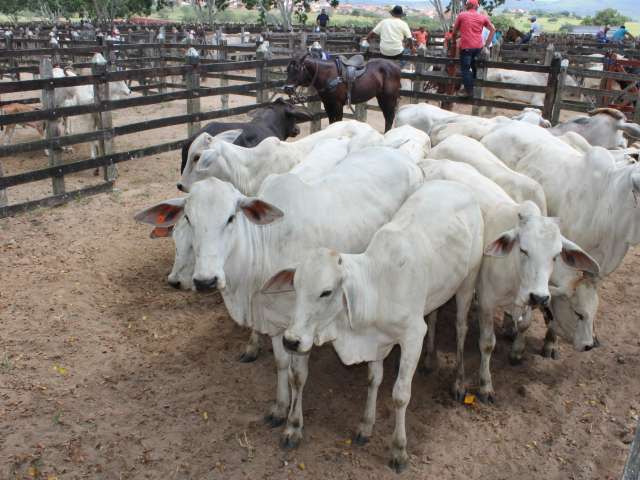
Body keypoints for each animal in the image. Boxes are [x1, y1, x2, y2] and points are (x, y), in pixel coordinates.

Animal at [135, 149, 424, 436]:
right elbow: (281, 365)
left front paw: (294, 425)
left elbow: (298, 376)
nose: (206, 280)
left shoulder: (302, 328)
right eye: (188, 218)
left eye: (231, 218)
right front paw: (279, 408)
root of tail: (403, 158)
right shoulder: (275, 322)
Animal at [262, 181, 482, 472]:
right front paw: (366, 426)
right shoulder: (377, 342)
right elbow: (373, 379)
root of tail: (459, 185)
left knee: (461, 327)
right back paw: (430, 360)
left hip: (468, 281)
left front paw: (399, 450)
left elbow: (400, 395)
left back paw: (458, 381)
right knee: (434, 314)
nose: (290, 340)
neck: (379, 285)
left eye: (326, 292)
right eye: (295, 286)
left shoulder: (413, 336)